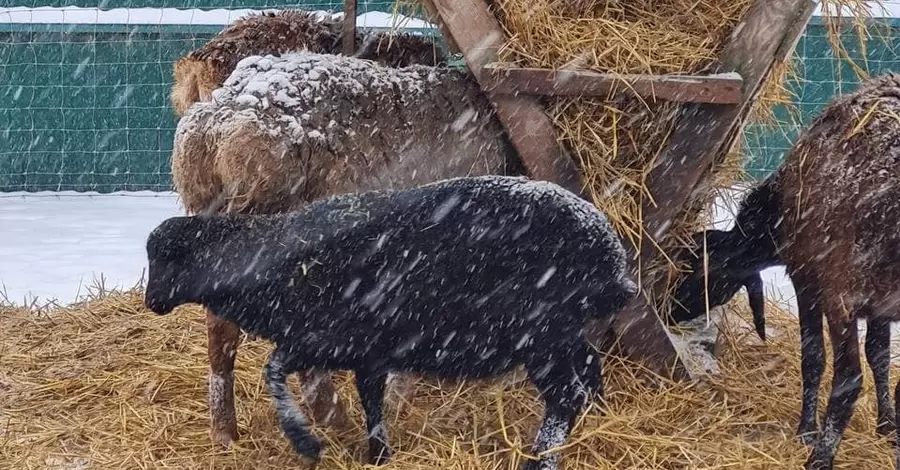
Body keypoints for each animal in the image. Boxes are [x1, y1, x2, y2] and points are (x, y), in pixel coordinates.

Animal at [144, 176, 636, 470]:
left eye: (170, 258)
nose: (151, 303)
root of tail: (611, 253)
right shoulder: (364, 351)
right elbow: (370, 401)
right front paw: (377, 454)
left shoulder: (326, 338)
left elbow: (274, 370)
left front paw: (306, 442)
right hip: (563, 334)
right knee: (589, 371)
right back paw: (601, 419)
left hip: (541, 334)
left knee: (566, 396)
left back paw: (541, 458)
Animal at [776, 71, 900, 468]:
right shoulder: (838, 294)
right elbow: (845, 379)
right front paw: (819, 454)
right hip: (808, 277)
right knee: (815, 356)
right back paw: (807, 429)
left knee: (878, 354)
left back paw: (887, 425)